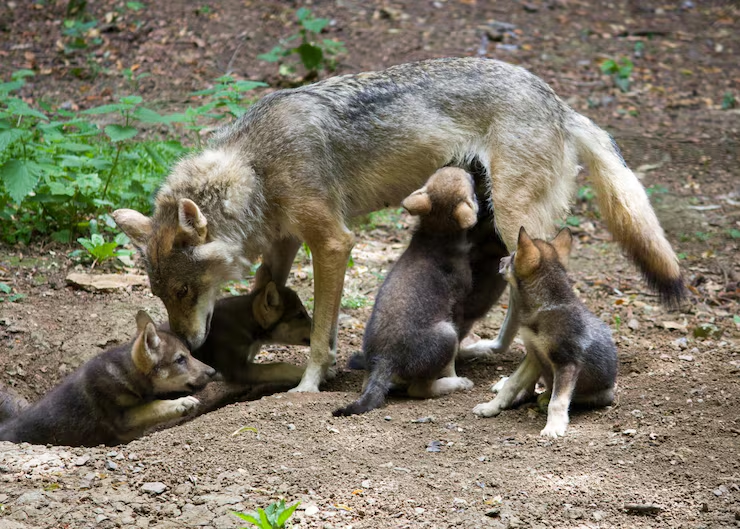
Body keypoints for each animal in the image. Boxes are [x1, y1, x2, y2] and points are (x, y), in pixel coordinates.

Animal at [0, 311, 214, 447]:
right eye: (180, 359)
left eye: (190, 354)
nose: (213, 371)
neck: (124, 372)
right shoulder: (122, 419)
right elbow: (154, 407)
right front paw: (182, 403)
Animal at [334, 167, 478, 416]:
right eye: (472, 186)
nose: (468, 169)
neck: (437, 234)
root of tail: (386, 359)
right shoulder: (458, 307)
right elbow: (452, 360)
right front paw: (454, 375)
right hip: (446, 334)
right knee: (421, 390)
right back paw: (456, 383)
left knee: (367, 385)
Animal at [472, 227, 618, 438]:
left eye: (513, 256)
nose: (500, 260)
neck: (546, 307)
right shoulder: (533, 355)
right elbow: (511, 385)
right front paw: (491, 407)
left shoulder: (566, 363)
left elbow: (558, 402)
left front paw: (553, 427)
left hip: (596, 393)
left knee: (562, 397)